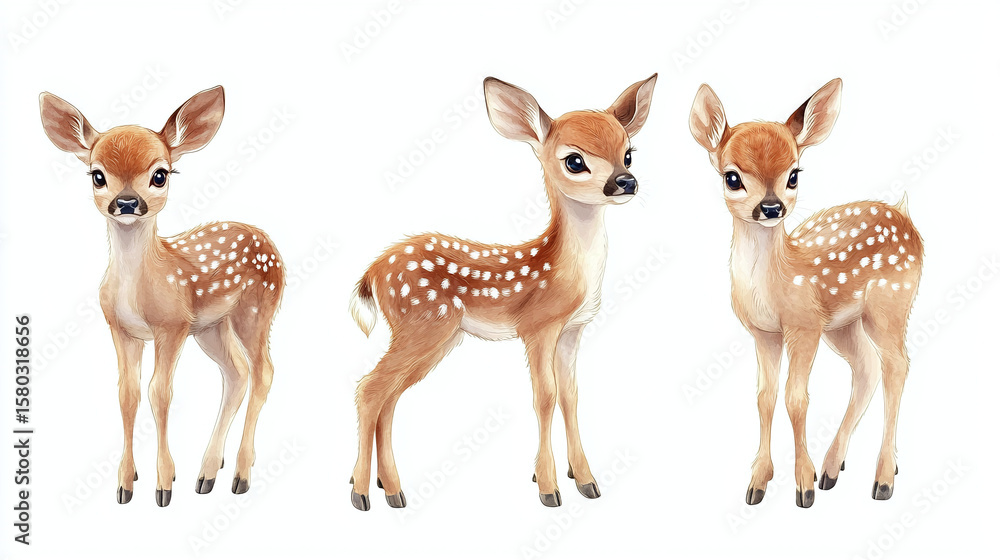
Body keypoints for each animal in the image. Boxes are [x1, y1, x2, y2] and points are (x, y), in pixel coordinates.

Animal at [39, 86, 284, 507]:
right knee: (236, 373)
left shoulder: (172, 325)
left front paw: (164, 485)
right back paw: (209, 471)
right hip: (211, 327)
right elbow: (128, 394)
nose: (126, 202)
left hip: (256, 309)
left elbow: (160, 393)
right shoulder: (121, 328)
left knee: (263, 372)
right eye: (97, 175)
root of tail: (269, 242)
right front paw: (125, 483)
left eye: (160, 174)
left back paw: (239, 474)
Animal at [348, 75, 657, 510]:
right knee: (369, 389)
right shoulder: (536, 327)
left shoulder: (573, 330)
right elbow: (545, 397)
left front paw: (585, 480)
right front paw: (548, 487)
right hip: (423, 323)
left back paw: (389, 489)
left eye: (628, 154)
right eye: (574, 160)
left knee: (388, 397)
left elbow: (571, 396)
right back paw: (361, 492)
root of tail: (372, 271)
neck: (568, 272)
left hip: (438, 337)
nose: (625, 182)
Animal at [688, 78, 924, 508]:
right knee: (866, 367)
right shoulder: (765, 333)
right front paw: (758, 482)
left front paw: (803, 485)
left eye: (794, 174)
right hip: (843, 325)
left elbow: (796, 399)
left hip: (891, 303)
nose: (771, 207)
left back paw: (882, 479)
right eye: (732, 177)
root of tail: (904, 216)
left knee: (897, 366)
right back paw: (833, 467)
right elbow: (764, 397)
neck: (777, 283)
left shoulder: (803, 326)